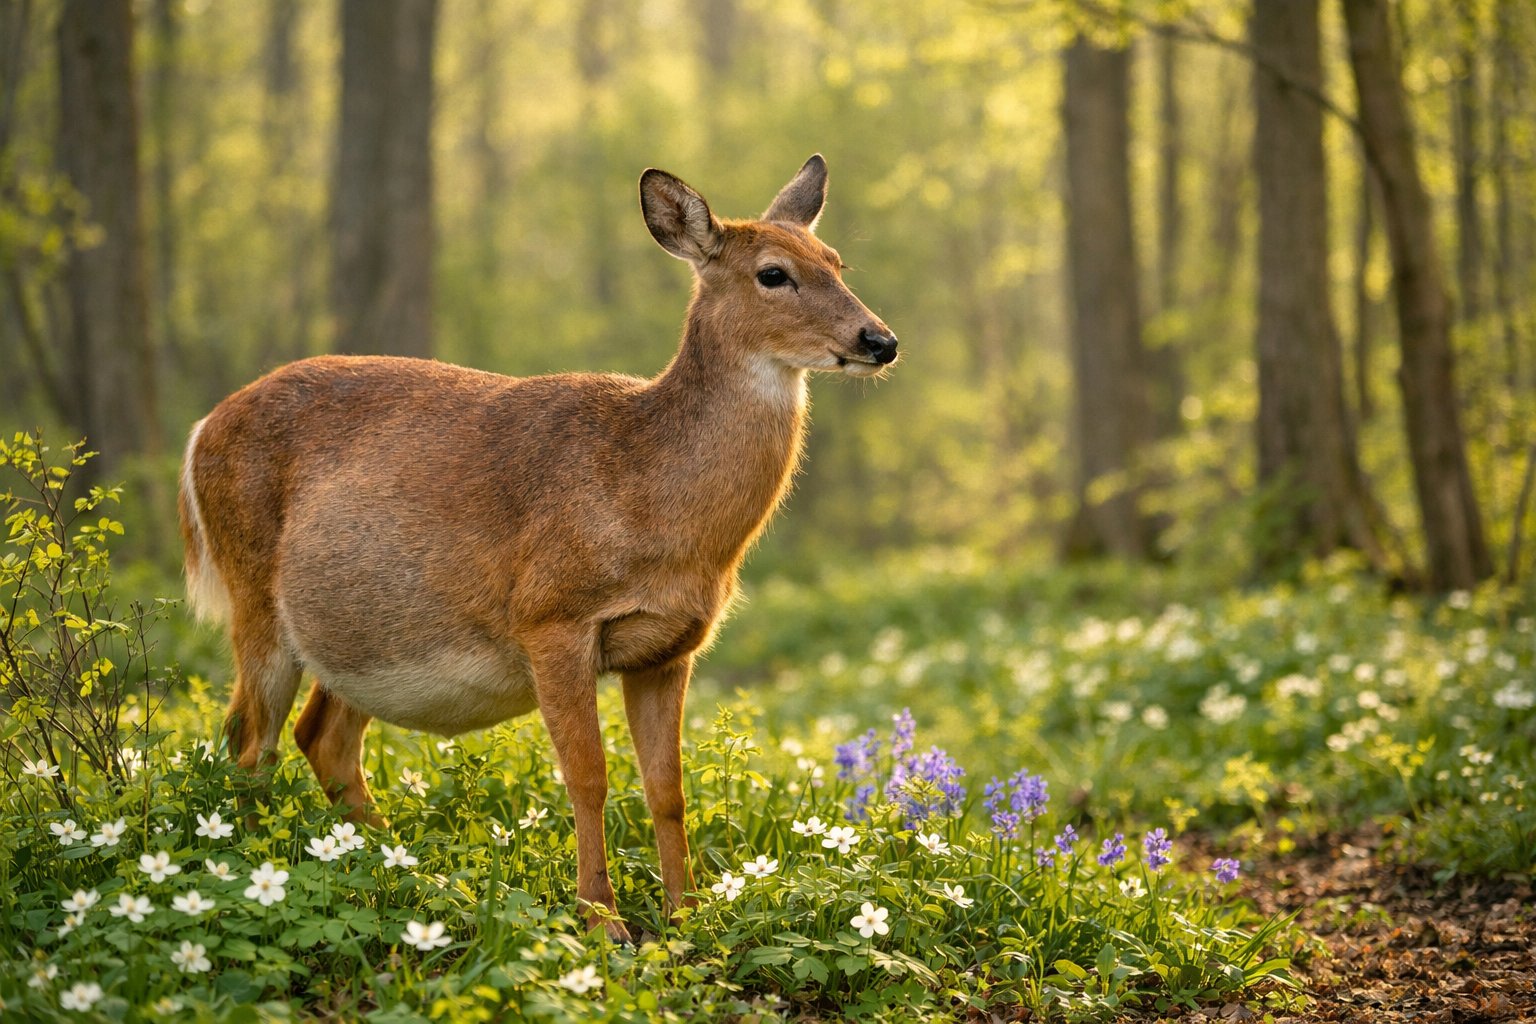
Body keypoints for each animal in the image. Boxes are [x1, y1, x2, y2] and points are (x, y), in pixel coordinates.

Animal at [178, 154, 898, 942]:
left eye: (836, 260)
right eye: (773, 273)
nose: (879, 340)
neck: (648, 490)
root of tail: (200, 430)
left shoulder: (672, 646)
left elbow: (667, 787)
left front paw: (687, 918)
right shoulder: (551, 616)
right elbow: (588, 778)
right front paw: (603, 922)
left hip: (363, 634)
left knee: (322, 738)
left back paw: (409, 875)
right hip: (253, 591)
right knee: (250, 741)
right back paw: (256, 876)